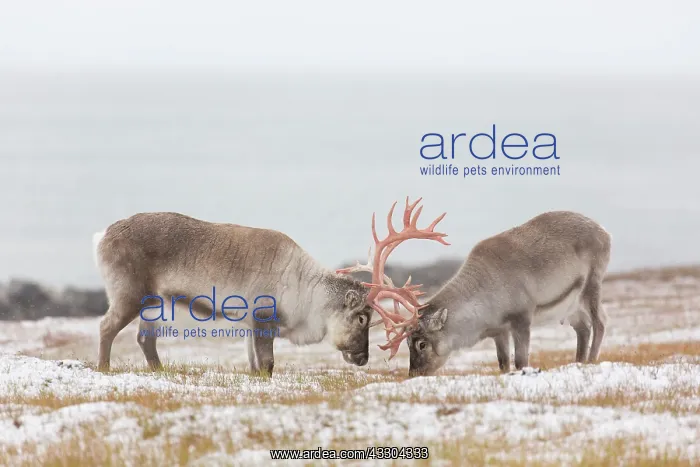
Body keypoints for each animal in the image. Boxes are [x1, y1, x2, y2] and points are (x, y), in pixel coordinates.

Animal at [92, 201, 448, 374]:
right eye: (362, 318)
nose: (362, 358)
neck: (306, 290)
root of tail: (102, 235)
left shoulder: (250, 323)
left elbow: (253, 364)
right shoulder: (264, 317)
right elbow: (267, 364)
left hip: (155, 302)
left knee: (144, 338)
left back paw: (159, 370)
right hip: (129, 293)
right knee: (107, 326)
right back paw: (103, 368)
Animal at [343, 210, 612, 377]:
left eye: (421, 342)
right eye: (407, 342)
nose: (413, 374)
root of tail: (604, 231)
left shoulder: (522, 318)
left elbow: (521, 361)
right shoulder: (499, 331)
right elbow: (503, 363)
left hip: (592, 284)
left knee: (599, 322)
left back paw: (591, 360)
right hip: (571, 306)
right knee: (583, 328)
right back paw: (579, 361)